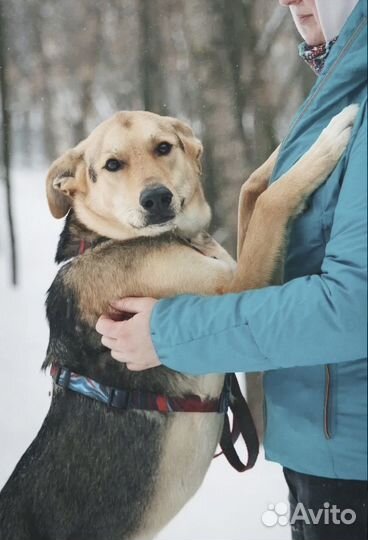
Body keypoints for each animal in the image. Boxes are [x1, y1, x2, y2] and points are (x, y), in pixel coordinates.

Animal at [0, 104, 356, 536]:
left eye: (164, 147)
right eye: (112, 164)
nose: (156, 198)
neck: (107, 239)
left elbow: (251, 190)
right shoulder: (237, 288)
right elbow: (270, 202)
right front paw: (328, 140)